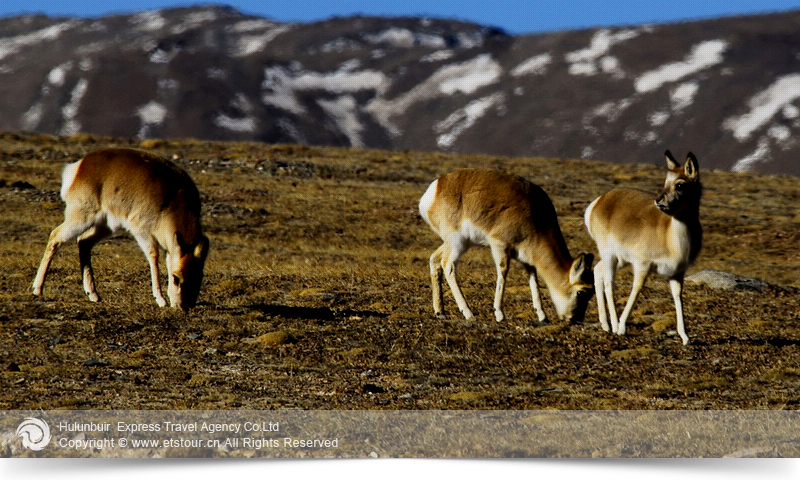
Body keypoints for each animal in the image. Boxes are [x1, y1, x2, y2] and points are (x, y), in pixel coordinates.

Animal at [33, 148, 211, 310]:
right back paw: (38, 289)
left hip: (107, 226)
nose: (184, 307)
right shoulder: (141, 231)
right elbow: (153, 256)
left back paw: (93, 294)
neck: (171, 201)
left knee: (83, 242)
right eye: (176, 278)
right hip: (81, 218)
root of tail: (79, 166)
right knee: (55, 236)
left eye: (199, 277)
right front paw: (160, 299)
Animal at [418, 168, 592, 322]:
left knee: (434, 259)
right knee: (448, 265)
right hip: (457, 243)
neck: (536, 217)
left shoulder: (526, 259)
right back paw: (468, 313)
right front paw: (499, 314)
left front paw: (542, 316)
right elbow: (503, 272)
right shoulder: (500, 247)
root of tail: (438, 185)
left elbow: (533, 279)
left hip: (456, 243)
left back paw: (440, 312)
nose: (576, 319)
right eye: (581, 292)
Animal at [584, 151, 704, 344]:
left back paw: (605, 324)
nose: (658, 200)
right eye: (665, 181)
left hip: (619, 259)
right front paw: (622, 328)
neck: (671, 239)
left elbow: (678, 296)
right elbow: (637, 289)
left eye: (680, 184)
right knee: (609, 284)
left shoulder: (677, 273)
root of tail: (599, 202)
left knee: (597, 270)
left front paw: (685, 337)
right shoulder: (643, 265)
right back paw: (614, 326)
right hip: (610, 255)